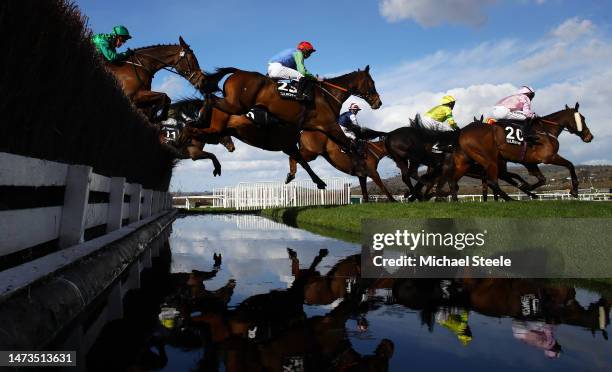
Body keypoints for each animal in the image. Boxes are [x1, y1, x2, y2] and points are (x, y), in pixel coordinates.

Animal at [444, 103, 592, 202]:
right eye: (583, 118)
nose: (589, 137)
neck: (546, 130)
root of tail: (463, 132)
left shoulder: (530, 162)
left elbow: (541, 179)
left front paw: (528, 188)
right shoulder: (548, 157)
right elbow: (570, 165)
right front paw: (574, 190)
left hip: (465, 162)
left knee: (452, 180)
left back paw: (453, 198)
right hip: (489, 160)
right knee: (492, 182)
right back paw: (510, 199)